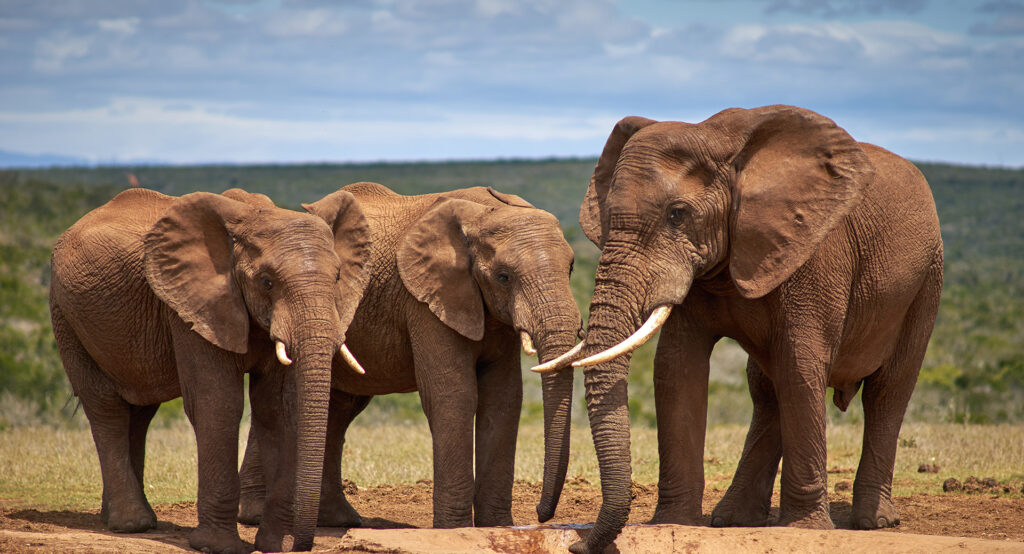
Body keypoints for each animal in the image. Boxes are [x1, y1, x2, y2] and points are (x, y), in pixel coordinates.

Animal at [49, 187, 371, 553]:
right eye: (266, 282)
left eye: (337, 278)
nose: (301, 544)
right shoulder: (192, 306)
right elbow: (219, 403)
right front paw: (218, 546)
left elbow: (276, 407)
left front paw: (275, 545)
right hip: (65, 315)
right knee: (105, 406)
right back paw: (131, 524)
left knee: (140, 410)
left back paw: (127, 519)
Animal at [237, 182, 583, 530]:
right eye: (503, 276)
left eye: (571, 267)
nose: (540, 514)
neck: (484, 213)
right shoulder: (425, 300)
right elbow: (454, 396)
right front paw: (455, 530)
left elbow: (504, 398)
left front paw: (496, 527)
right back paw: (259, 516)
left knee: (340, 407)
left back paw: (337, 519)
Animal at [534, 105, 944, 553]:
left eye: (677, 214)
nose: (575, 544)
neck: (721, 143)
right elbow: (677, 368)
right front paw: (676, 521)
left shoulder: (814, 254)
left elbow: (800, 366)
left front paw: (805, 530)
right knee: (767, 387)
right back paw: (733, 518)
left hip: (927, 280)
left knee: (887, 390)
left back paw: (874, 522)